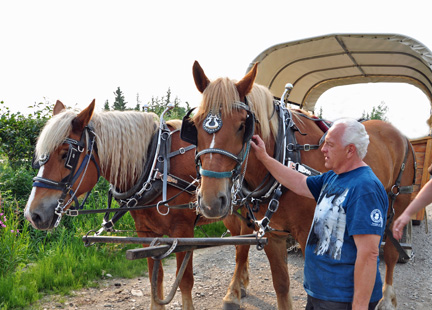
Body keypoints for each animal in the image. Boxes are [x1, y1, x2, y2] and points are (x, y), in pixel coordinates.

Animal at [24, 100, 243, 308]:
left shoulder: (183, 233)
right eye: (40, 158)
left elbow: (186, 281)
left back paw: (234, 293)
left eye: (66, 155)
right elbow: (156, 281)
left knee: (242, 248)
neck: (158, 164)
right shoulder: (146, 233)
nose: (32, 214)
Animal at [185, 61, 416, 310]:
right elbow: (281, 284)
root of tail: (399, 133)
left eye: (242, 125)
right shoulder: (273, 234)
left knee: (390, 251)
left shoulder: (309, 233)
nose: (210, 202)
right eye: (195, 124)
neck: (287, 151)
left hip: (398, 203)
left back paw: (387, 298)